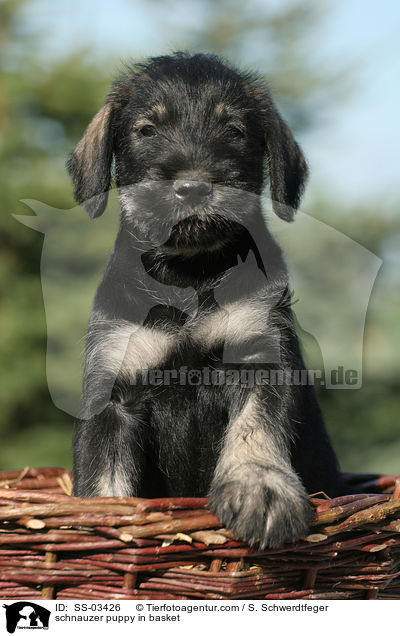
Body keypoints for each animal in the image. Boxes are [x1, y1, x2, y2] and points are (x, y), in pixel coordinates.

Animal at [67, 53, 346, 548]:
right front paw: (102, 524)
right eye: (147, 130)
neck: (189, 273)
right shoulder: (112, 394)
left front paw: (260, 489)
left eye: (233, 130)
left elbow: (255, 426)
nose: (193, 187)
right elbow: (103, 478)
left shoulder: (259, 356)